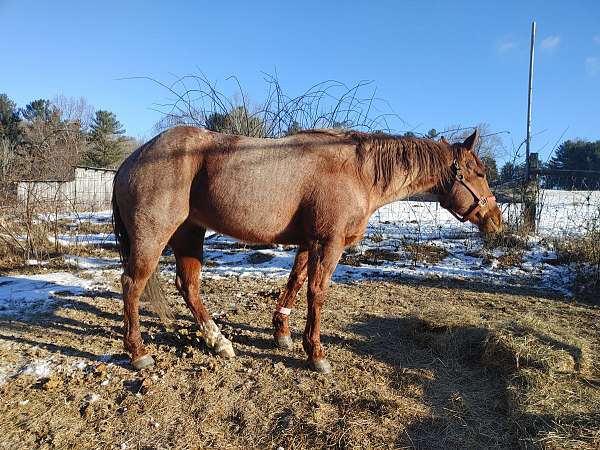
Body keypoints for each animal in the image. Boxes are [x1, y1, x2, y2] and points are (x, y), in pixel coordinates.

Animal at [111, 125, 502, 372]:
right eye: (479, 173)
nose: (496, 220)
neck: (357, 172)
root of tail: (133, 158)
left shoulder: (307, 243)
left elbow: (295, 285)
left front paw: (282, 334)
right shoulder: (328, 245)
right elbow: (317, 293)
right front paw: (315, 354)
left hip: (189, 234)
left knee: (188, 286)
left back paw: (218, 342)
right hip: (154, 237)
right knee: (132, 284)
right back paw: (138, 352)